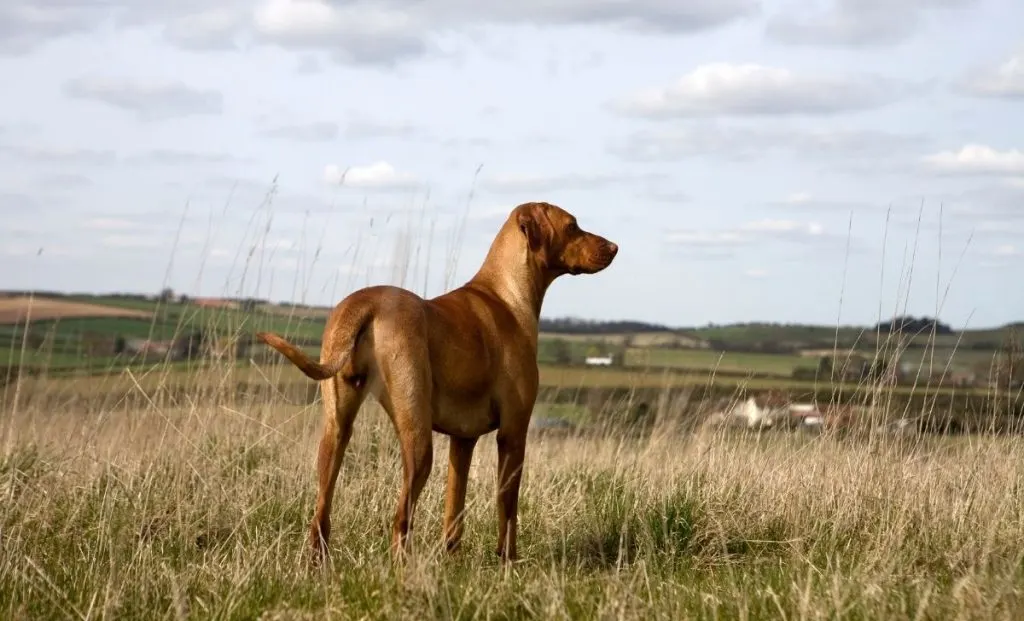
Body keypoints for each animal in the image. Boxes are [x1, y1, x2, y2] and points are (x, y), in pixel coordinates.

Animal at [254, 200, 614, 565]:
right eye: (572, 226)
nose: (614, 247)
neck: (506, 295)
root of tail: (365, 303)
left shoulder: (463, 440)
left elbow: (454, 507)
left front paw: (451, 560)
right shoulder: (513, 433)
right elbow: (508, 507)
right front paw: (508, 561)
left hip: (336, 431)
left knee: (321, 511)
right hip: (419, 439)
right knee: (400, 518)